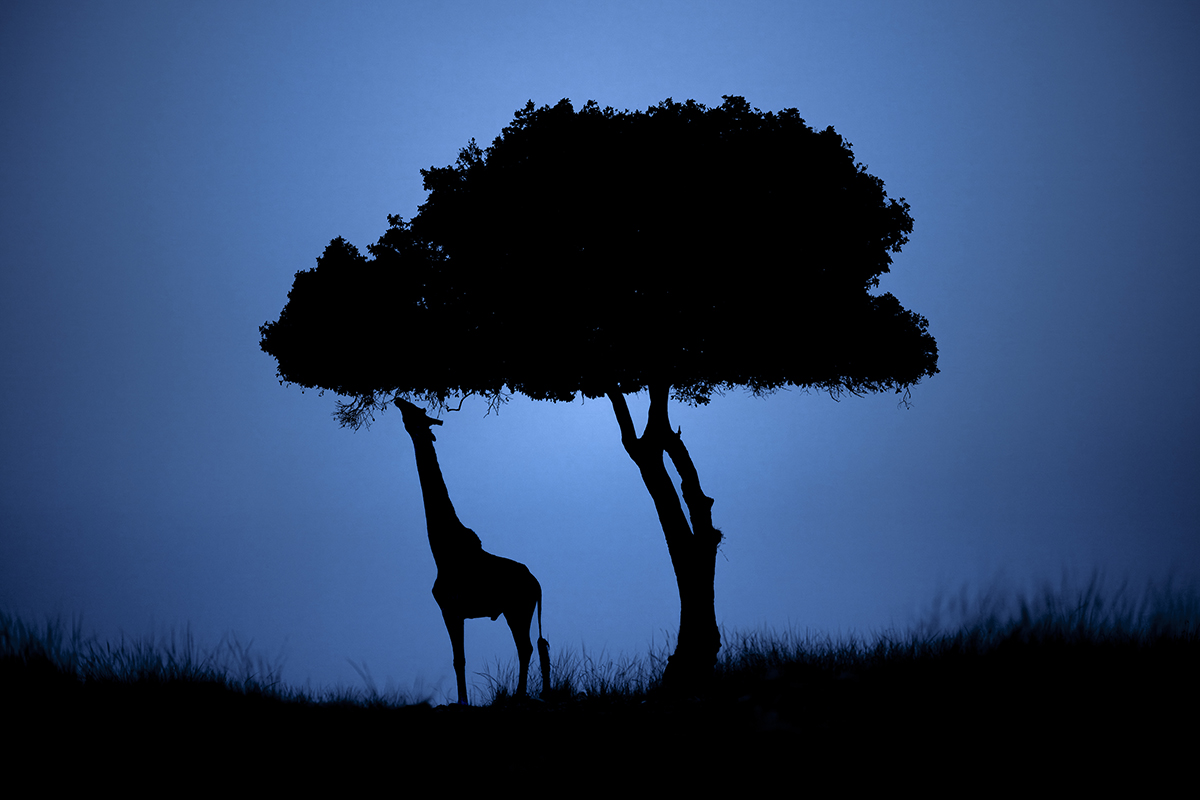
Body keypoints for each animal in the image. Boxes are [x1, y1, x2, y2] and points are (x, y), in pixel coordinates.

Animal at [394, 397, 550, 705]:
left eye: (417, 412)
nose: (398, 400)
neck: (443, 550)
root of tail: (536, 583)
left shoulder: (451, 609)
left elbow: (459, 659)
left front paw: (463, 701)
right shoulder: (454, 611)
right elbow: (459, 658)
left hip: (518, 608)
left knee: (525, 647)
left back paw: (518, 695)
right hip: (519, 609)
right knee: (530, 647)